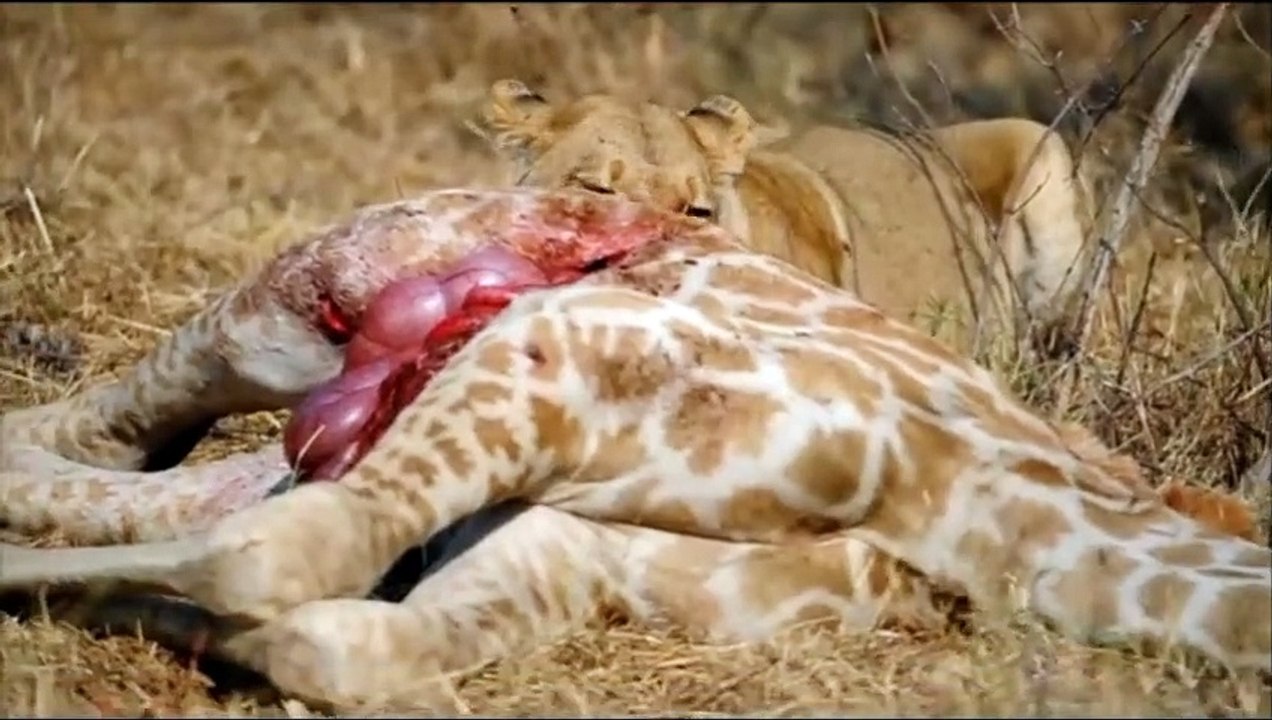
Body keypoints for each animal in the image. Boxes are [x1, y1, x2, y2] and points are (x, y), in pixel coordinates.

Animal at [0, 188, 1266, 713]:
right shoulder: (561, 350)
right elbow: (274, 556)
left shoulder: (565, 553)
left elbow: (332, 633)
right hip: (304, 302)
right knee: (102, 419)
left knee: (117, 469)